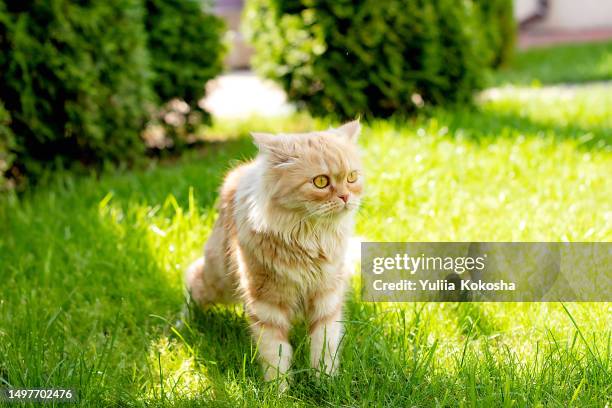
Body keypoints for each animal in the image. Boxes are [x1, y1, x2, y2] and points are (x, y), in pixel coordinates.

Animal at [185, 118, 364, 388]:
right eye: (321, 182)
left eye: (352, 177)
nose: (346, 196)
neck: (309, 239)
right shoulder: (266, 304)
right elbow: (276, 354)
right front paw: (279, 391)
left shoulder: (327, 296)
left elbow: (324, 345)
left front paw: (325, 384)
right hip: (218, 280)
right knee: (191, 282)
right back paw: (181, 325)